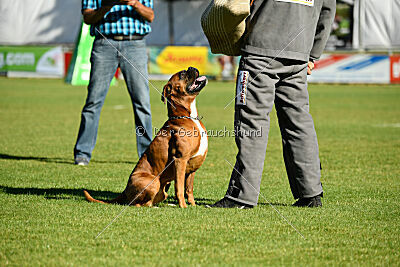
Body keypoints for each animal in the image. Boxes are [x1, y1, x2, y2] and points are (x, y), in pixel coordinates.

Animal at [84, 67, 209, 209]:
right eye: (182, 74)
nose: (192, 68)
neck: (186, 116)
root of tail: (125, 190)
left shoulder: (191, 167)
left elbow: (189, 189)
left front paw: (192, 205)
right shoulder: (180, 161)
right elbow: (180, 188)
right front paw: (183, 206)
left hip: (163, 189)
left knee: (149, 202)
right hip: (154, 182)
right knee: (136, 204)